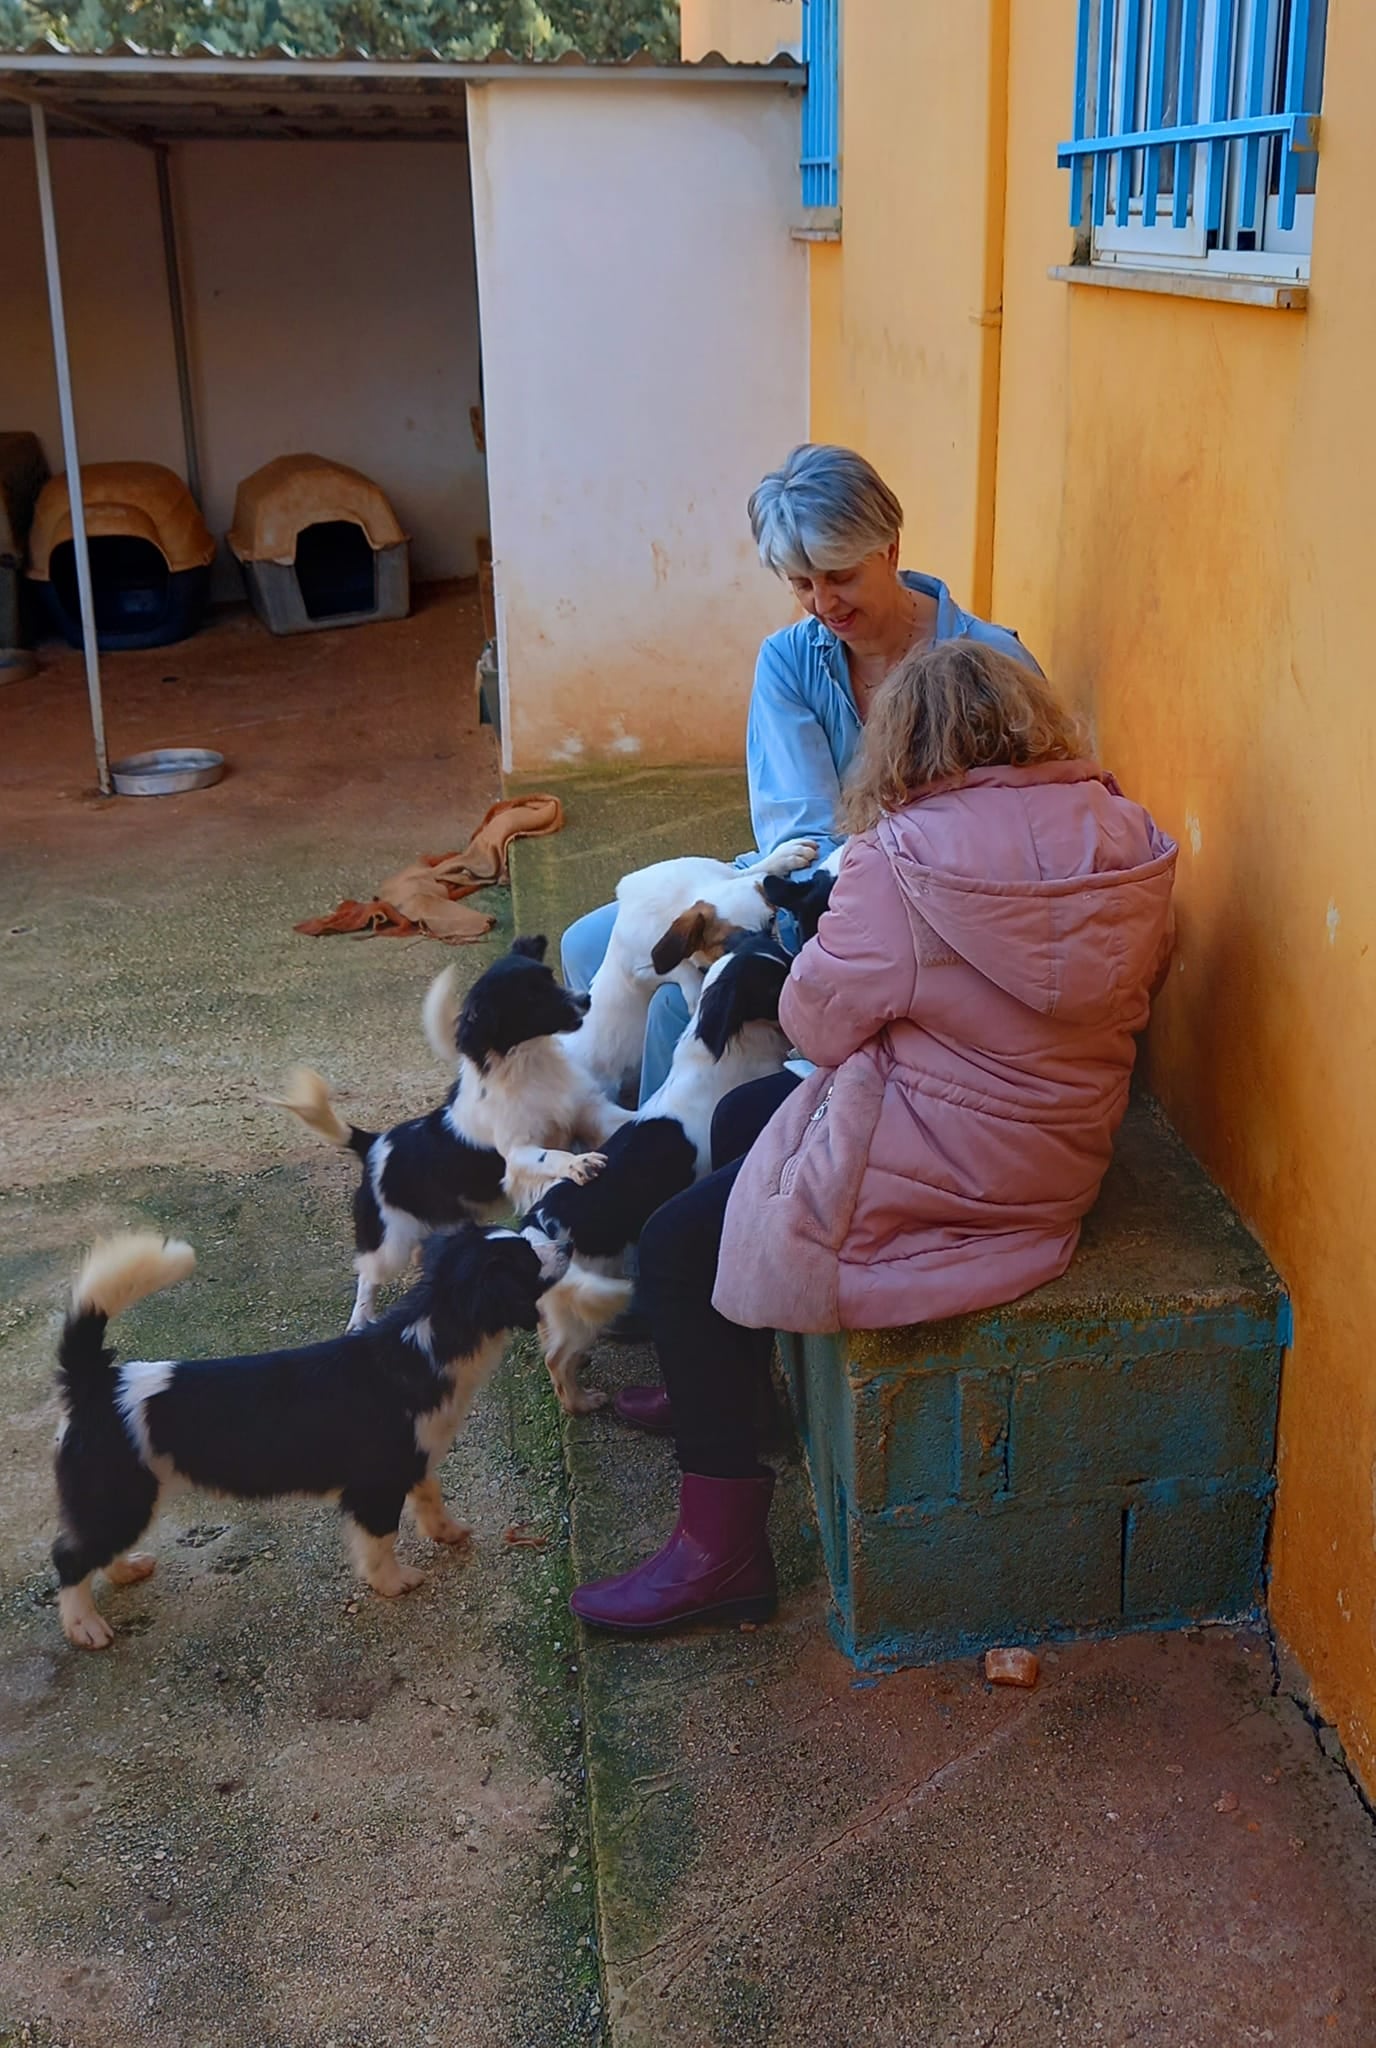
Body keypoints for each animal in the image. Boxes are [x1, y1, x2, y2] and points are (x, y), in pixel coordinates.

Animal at [50, 1222, 626, 1651]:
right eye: (528, 1258)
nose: (569, 1245)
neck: (431, 1337)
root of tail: (96, 1382)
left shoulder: (413, 1457)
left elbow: (430, 1496)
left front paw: (446, 1532)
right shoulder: (376, 1483)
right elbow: (381, 1539)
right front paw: (394, 1583)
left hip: (122, 1500)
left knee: (93, 1545)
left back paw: (125, 1570)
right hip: (121, 1496)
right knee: (69, 1556)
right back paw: (85, 1626)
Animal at [277, 936, 629, 1330]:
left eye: (549, 977)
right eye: (531, 997)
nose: (586, 999)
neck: (531, 1066)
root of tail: (373, 1143)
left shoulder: (589, 1112)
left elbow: (621, 1119)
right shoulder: (517, 1154)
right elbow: (550, 1155)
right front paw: (579, 1164)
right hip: (389, 1243)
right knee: (368, 1275)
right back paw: (360, 1319)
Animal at [570, 839, 819, 1098]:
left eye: (772, 920)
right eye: (727, 942)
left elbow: (750, 872)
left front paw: (782, 857)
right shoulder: (638, 970)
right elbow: (680, 968)